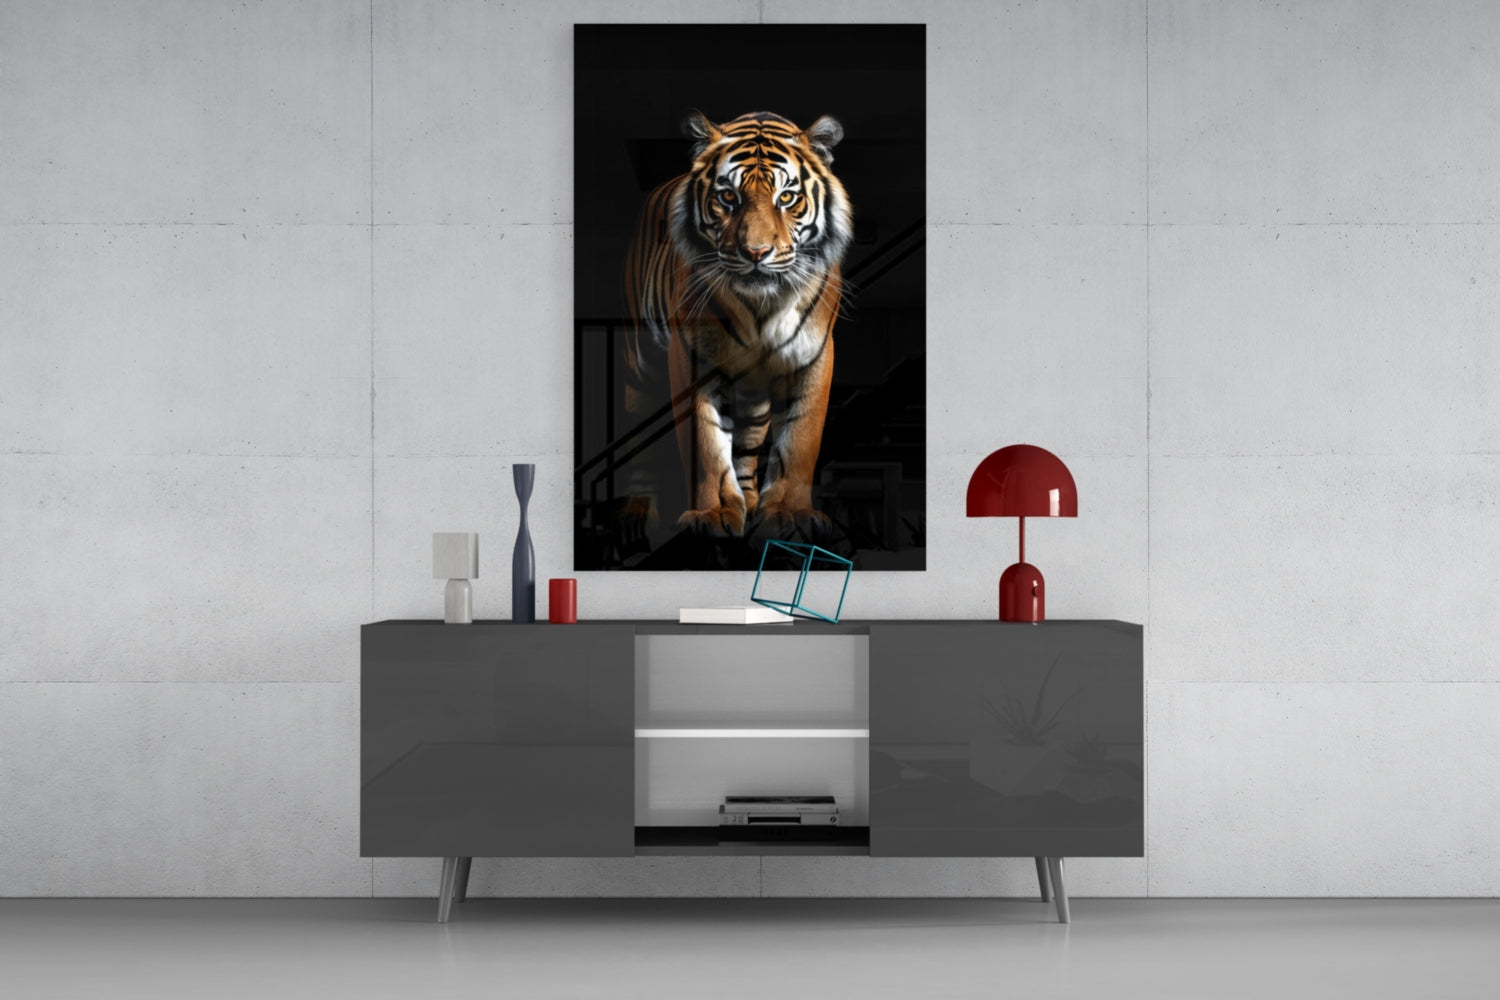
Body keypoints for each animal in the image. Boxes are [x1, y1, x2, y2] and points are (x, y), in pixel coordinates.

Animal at [624, 110, 853, 538]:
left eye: (786, 198)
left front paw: (790, 514)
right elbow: (706, 444)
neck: (762, 306)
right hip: (639, 363)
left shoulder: (813, 354)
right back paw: (636, 513)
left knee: (747, 441)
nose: (756, 252)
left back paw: (748, 501)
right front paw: (712, 514)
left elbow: (800, 439)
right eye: (728, 197)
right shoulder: (690, 355)